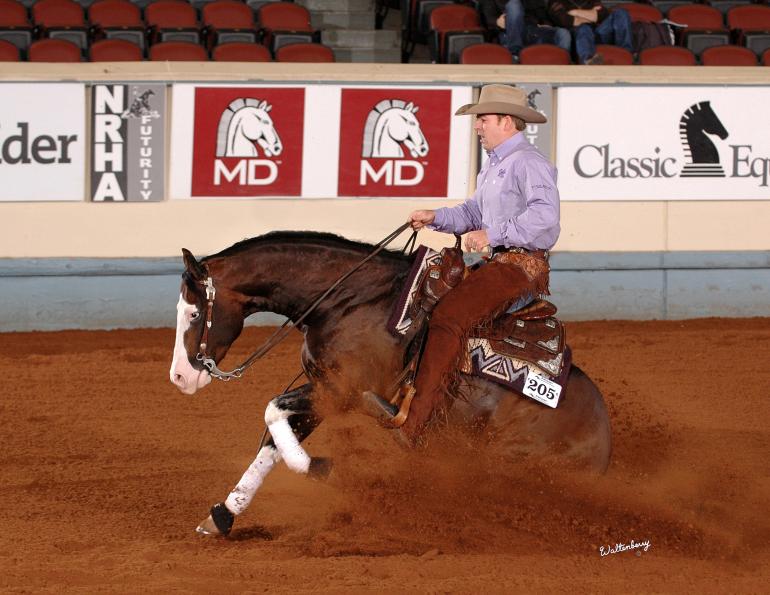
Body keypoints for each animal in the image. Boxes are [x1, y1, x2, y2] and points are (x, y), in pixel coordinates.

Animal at [169, 232, 612, 536]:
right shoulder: (323, 388)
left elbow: (273, 411)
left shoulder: (343, 392)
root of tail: (602, 439)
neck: (349, 300)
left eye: (194, 313)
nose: (179, 377)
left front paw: (320, 467)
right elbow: (273, 439)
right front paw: (224, 515)